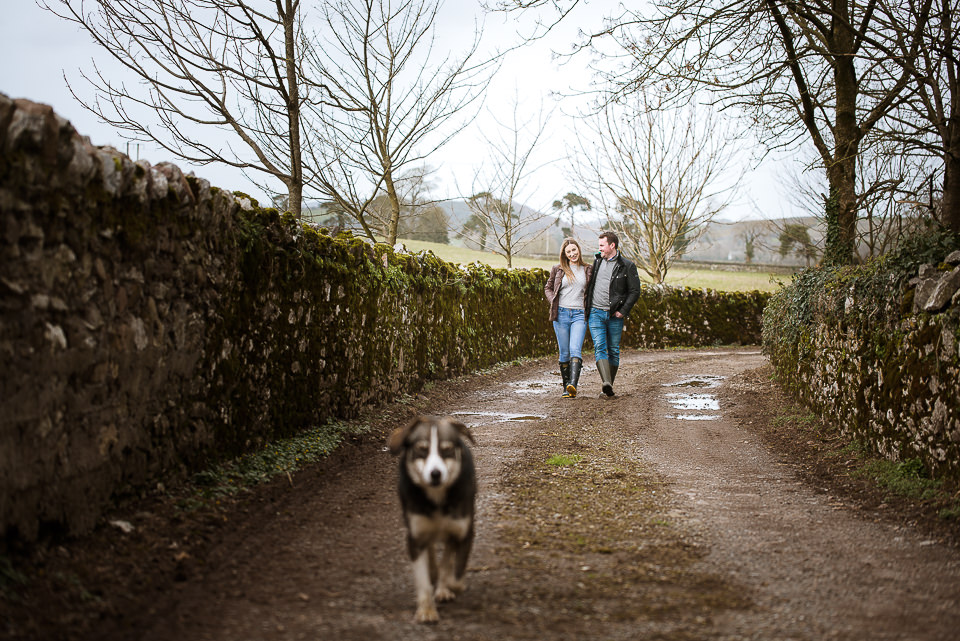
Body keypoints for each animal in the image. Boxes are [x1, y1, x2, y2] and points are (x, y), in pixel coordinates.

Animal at [386, 412, 476, 624]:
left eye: (447, 450)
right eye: (422, 450)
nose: (435, 474)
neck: (437, 500)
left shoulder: (463, 532)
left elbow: (455, 573)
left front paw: (449, 585)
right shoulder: (416, 536)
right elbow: (423, 579)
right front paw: (426, 610)